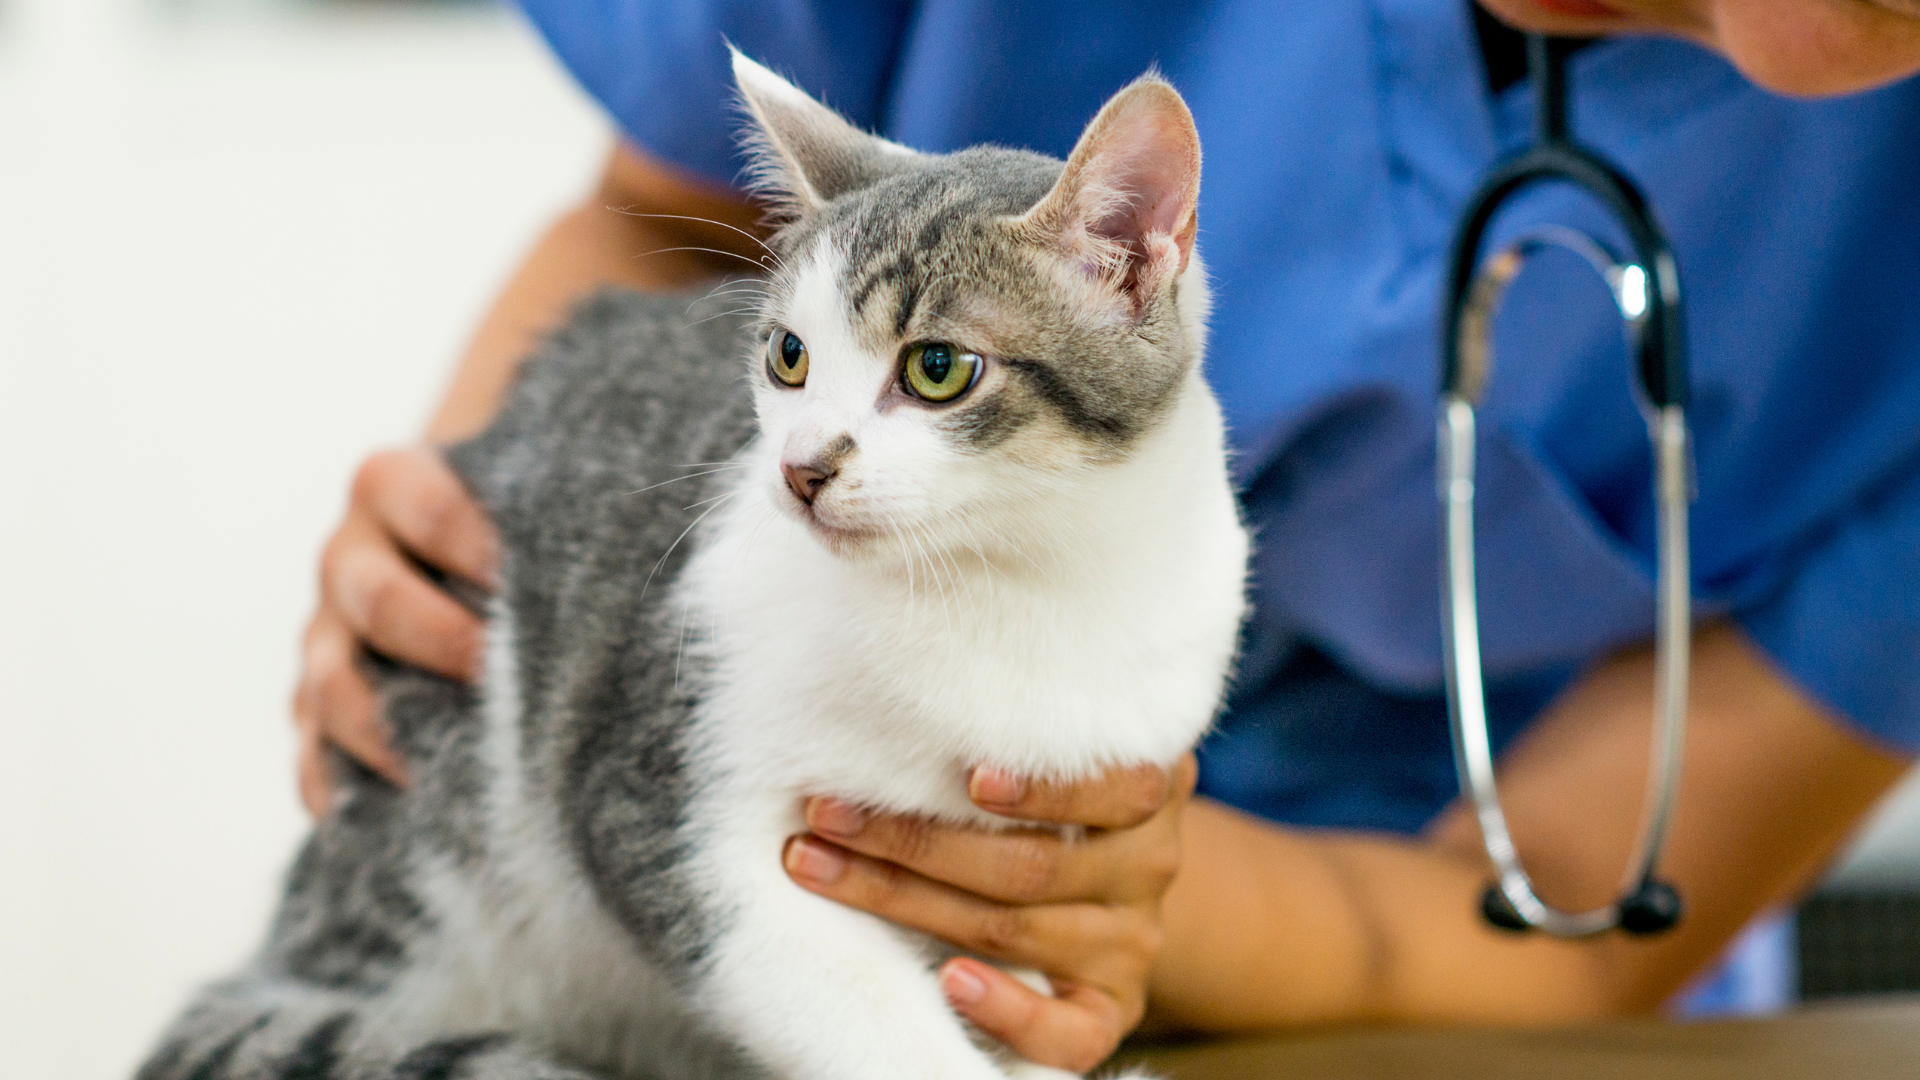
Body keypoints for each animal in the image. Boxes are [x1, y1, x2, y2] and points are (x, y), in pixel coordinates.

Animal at [135, 54, 1244, 1076]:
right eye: (789, 357)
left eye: (938, 369)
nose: (801, 468)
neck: (1019, 579)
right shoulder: (665, 804)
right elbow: (839, 1000)